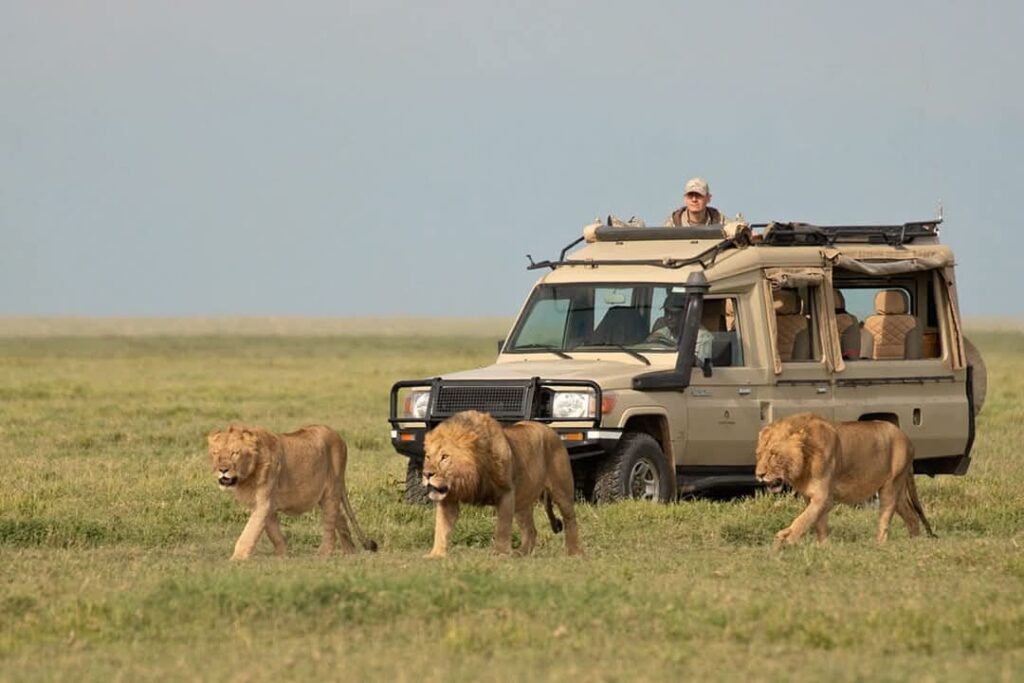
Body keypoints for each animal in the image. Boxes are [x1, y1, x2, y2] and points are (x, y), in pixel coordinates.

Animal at [208, 424, 377, 560]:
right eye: (216, 453)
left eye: (235, 453)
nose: (222, 470)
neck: (247, 477)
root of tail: (338, 437)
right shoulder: (265, 507)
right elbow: (274, 534)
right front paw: (283, 557)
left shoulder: (263, 504)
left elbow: (249, 533)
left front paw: (236, 559)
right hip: (325, 495)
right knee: (340, 517)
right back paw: (350, 552)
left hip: (332, 490)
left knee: (330, 524)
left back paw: (323, 554)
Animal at [421, 410, 582, 558]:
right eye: (428, 457)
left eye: (445, 457)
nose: (426, 474)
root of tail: (551, 430)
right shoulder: (448, 499)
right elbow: (441, 527)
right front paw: (436, 555)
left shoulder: (506, 493)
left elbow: (502, 527)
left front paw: (500, 554)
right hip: (522, 501)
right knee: (531, 530)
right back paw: (521, 554)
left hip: (562, 490)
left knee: (570, 521)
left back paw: (573, 553)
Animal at [755, 412, 936, 549]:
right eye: (759, 454)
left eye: (773, 454)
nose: (759, 474)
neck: (804, 462)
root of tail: (907, 438)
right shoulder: (810, 497)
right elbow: (818, 522)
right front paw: (824, 547)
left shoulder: (824, 497)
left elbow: (803, 519)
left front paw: (785, 538)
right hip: (898, 491)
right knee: (912, 516)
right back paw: (914, 543)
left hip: (891, 486)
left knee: (885, 518)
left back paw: (879, 546)